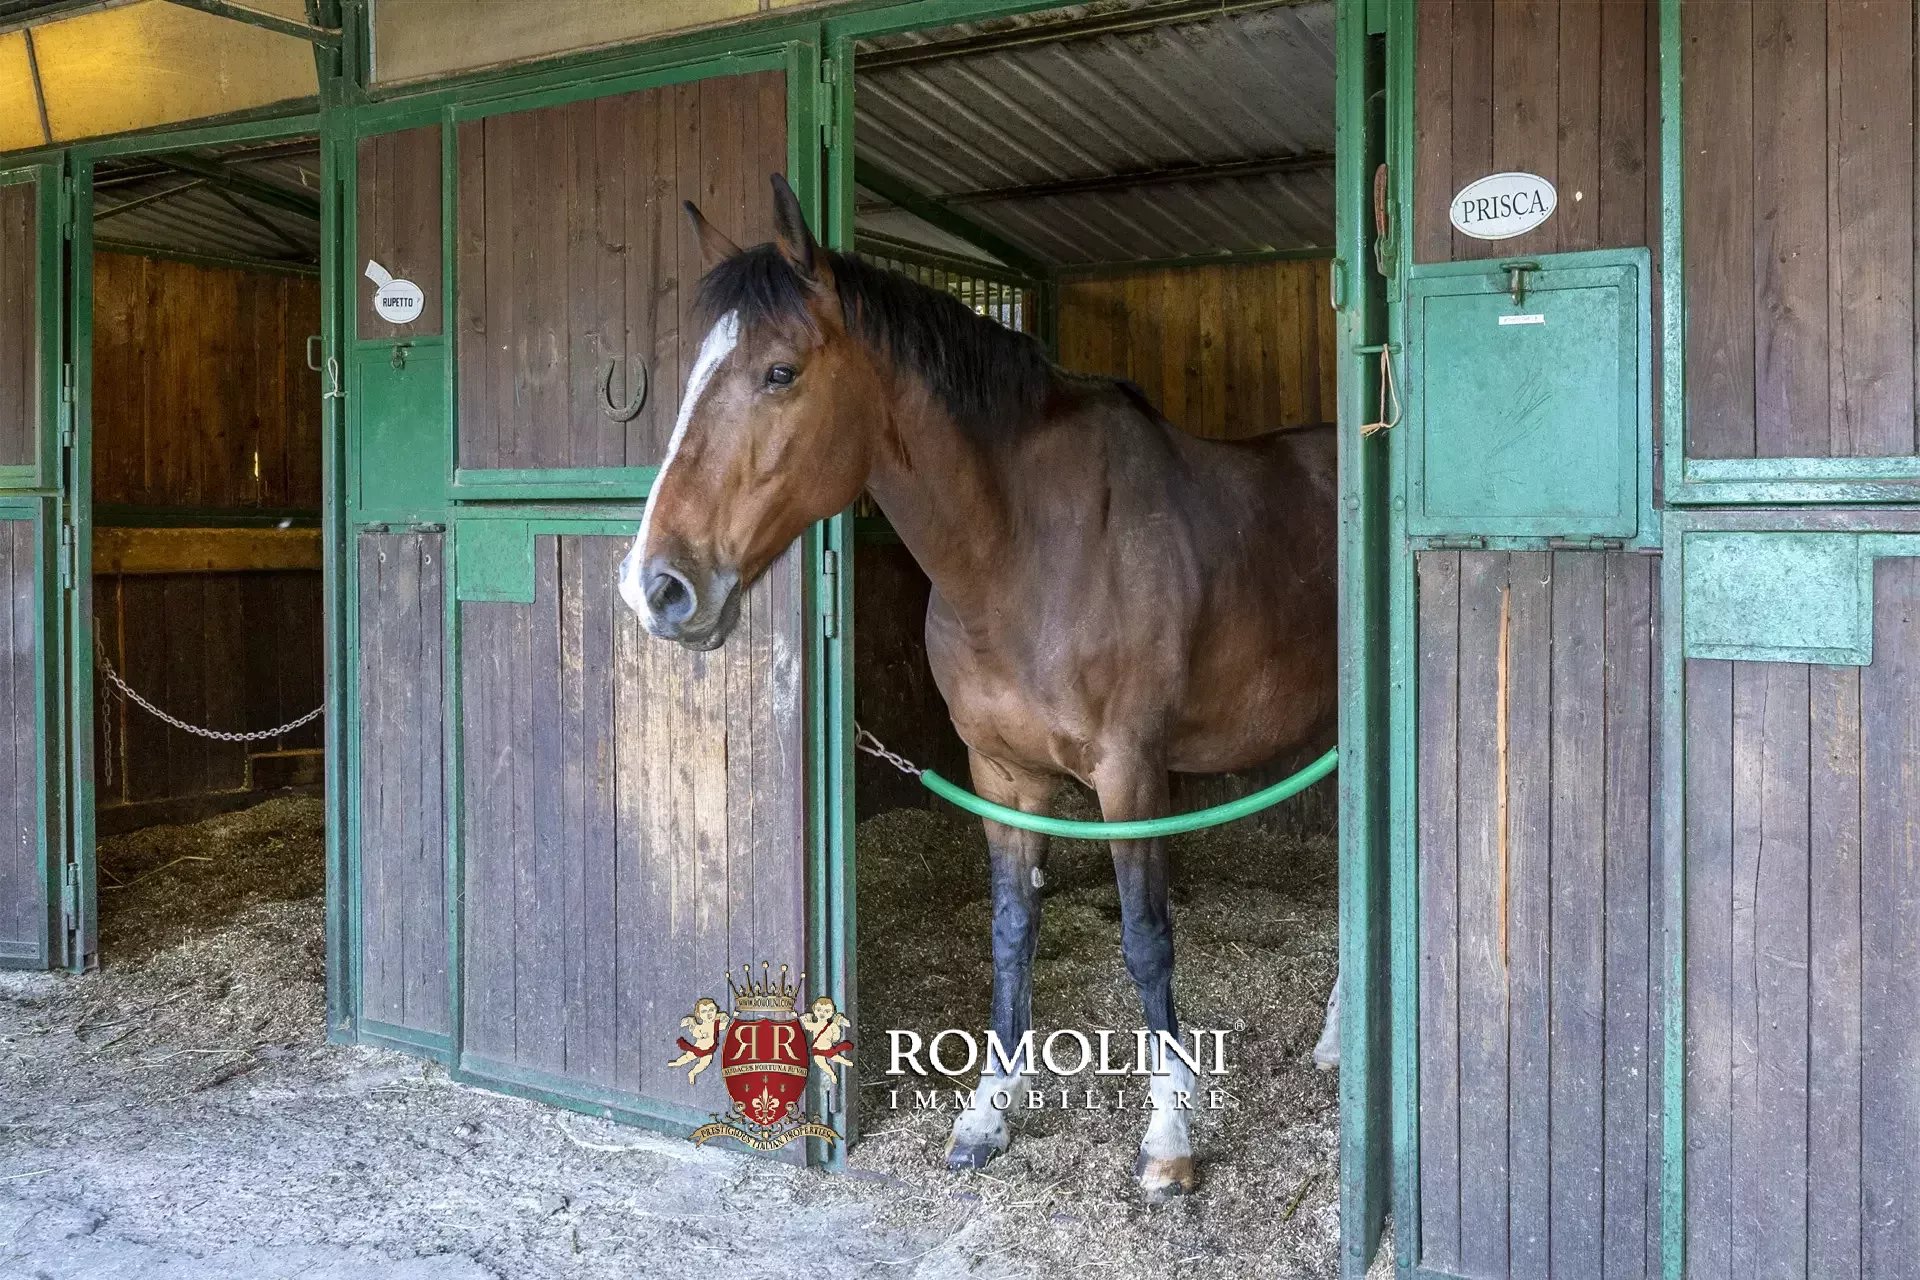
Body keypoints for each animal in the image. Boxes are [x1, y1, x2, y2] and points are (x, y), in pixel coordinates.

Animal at [619, 174, 1339, 1199]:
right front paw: (986, 1115)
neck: (1027, 551)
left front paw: (1169, 1137)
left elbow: (1146, 938)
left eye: (780, 373)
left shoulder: (1132, 776)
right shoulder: (999, 774)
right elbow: (1009, 933)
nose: (659, 588)